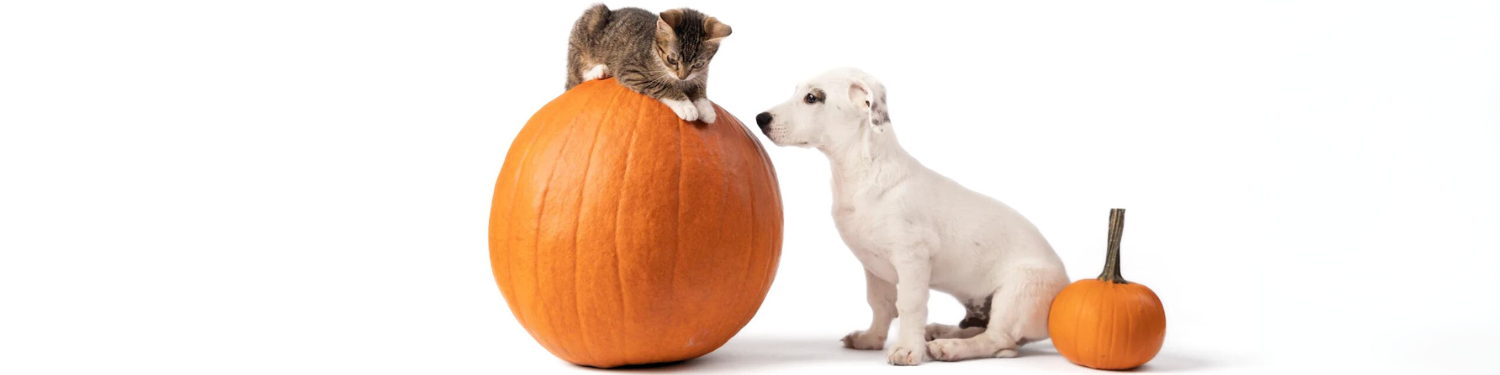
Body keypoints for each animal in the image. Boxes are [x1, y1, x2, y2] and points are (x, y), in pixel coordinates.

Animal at [564, 4, 732, 123]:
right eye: (672, 60)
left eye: (698, 64)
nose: (682, 77)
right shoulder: (631, 71)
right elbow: (662, 86)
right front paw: (687, 106)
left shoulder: (701, 74)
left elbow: (699, 88)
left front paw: (705, 108)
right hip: (591, 20)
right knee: (577, 75)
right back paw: (599, 70)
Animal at [762, 68, 1068, 366]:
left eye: (812, 98)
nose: (760, 118)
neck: (859, 173)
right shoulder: (873, 265)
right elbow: (880, 303)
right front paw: (871, 339)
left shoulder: (911, 259)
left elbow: (908, 306)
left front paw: (908, 349)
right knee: (989, 334)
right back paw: (941, 332)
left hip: (1016, 293)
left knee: (998, 340)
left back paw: (950, 347)